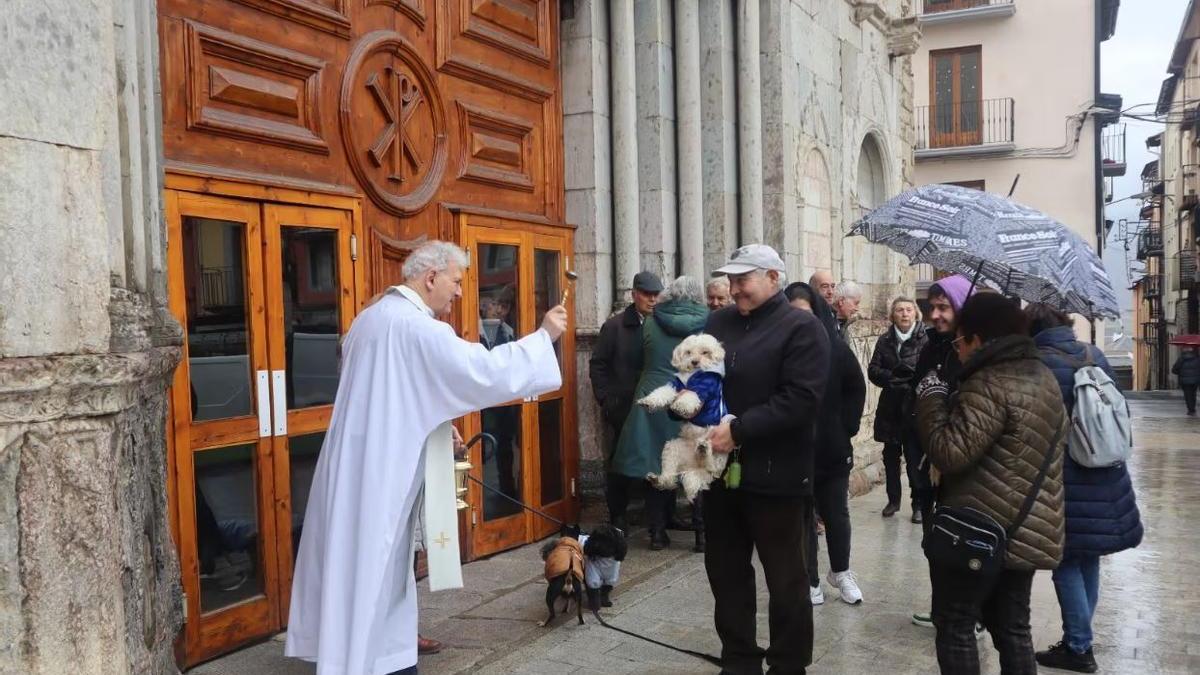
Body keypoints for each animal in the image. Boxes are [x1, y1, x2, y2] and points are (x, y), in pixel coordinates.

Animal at [638, 331, 729, 499]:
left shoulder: (703, 388)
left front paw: (680, 405)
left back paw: (704, 448)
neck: (692, 374)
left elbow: (689, 396)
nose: (694, 361)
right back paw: (657, 479)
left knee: (713, 466)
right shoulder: (675, 386)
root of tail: (695, 466)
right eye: (688, 352)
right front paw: (648, 401)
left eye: (705, 352)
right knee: (669, 478)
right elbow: (662, 392)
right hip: (672, 449)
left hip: (719, 444)